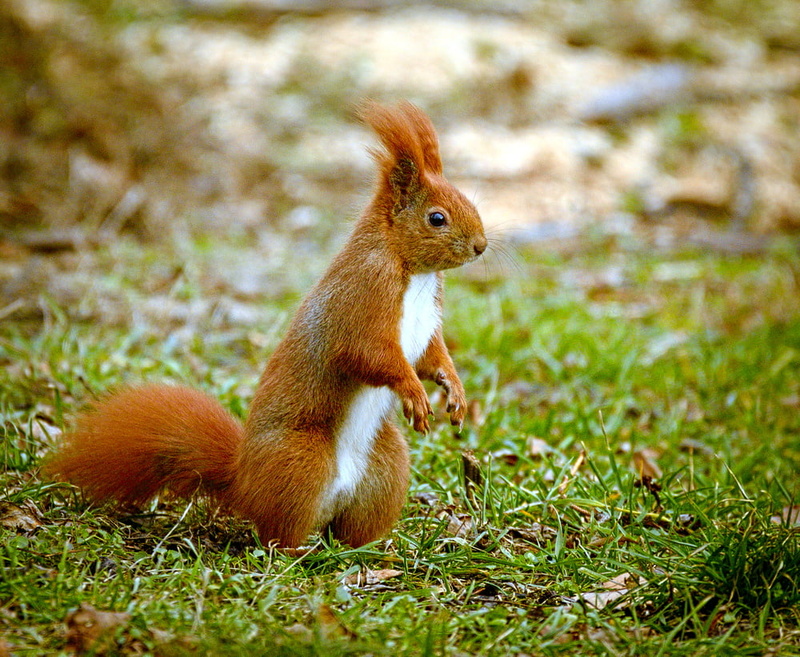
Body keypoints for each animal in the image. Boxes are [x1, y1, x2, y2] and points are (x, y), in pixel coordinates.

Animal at [44, 101, 487, 549]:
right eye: (437, 218)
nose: (480, 247)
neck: (415, 273)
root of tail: (244, 483)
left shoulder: (427, 323)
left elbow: (433, 356)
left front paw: (454, 390)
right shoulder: (362, 298)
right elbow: (369, 354)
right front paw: (413, 392)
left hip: (385, 469)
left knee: (349, 528)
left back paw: (372, 552)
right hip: (300, 460)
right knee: (278, 532)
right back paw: (301, 551)